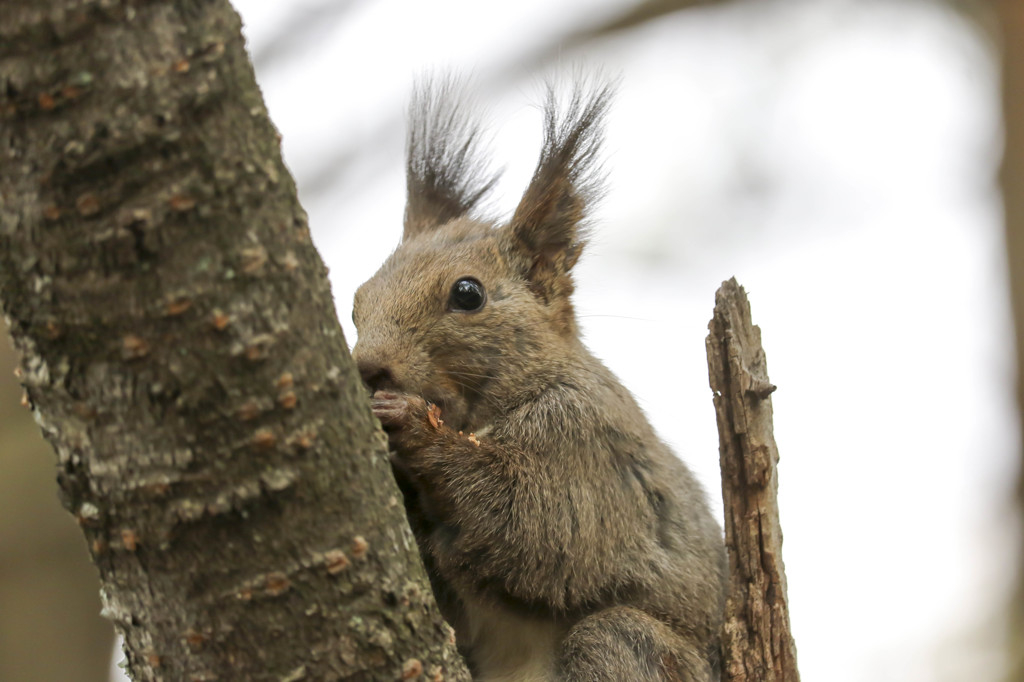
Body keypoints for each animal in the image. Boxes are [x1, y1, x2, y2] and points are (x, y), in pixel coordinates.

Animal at [352, 80, 729, 679]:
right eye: (356, 302)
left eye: (468, 294)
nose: (370, 367)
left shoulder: (586, 447)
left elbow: (537, 524)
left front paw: (411, 428)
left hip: (634, 649)